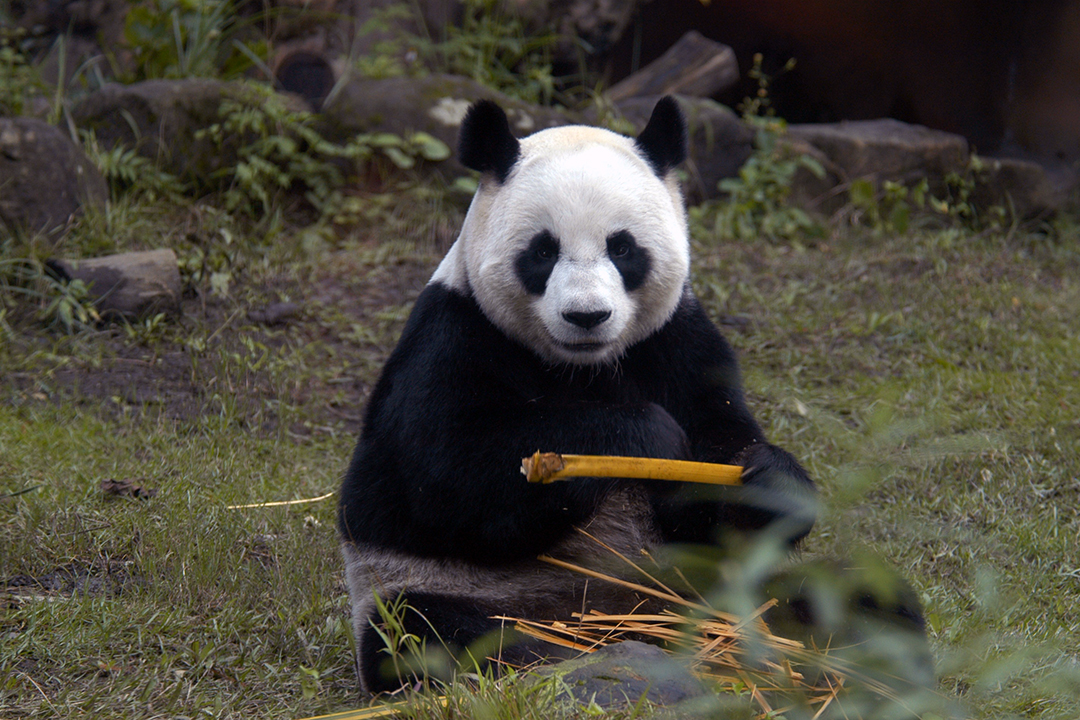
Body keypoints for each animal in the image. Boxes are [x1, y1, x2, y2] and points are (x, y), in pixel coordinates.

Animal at [338, 96, 818, 694]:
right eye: (543, 251)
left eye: (623, 247)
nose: (586, 315)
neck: (583, 368)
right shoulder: (452, 338)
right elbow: (443, 479)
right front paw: (649, 437)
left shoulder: (677, 344)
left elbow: (717, 469)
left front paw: (771, 480)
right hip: (444, 586)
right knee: (424, 633)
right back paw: (543, 659)